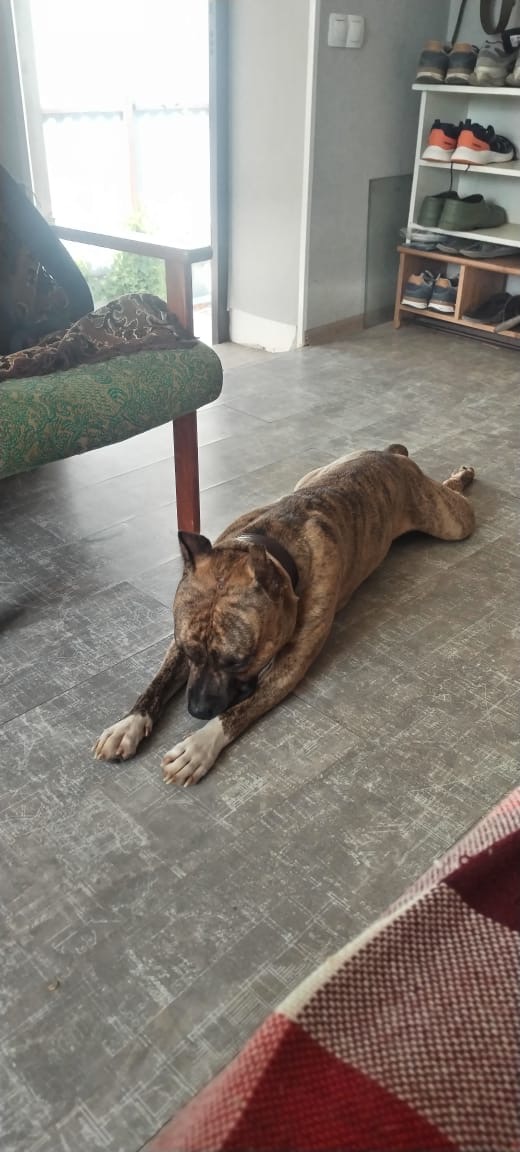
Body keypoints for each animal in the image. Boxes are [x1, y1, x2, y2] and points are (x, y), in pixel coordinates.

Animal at [93, 445, 475, 785]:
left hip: (450, 520)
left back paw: (462, 477)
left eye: (237, 661)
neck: (271, 543)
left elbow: (237, 712)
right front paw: (128, 724)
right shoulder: (178, 647)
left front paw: (199, 746)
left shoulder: (286, 669)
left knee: (456, 499)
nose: (197, 711)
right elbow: (157, 682)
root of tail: (387, 454)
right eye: (189, 652)